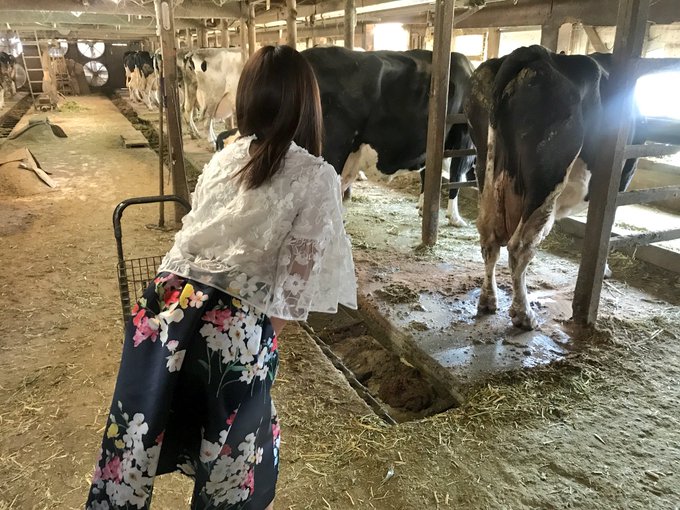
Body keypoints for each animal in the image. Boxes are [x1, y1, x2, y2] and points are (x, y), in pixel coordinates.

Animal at [465, 45, 642, 330]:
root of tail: (531, 51)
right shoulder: (619, 181)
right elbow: (603, 229)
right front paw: (603, 269)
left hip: (485, 166)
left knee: (488, 239)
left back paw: (488, 300)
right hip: (546, 177)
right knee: (520, 247)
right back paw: (524, 314)